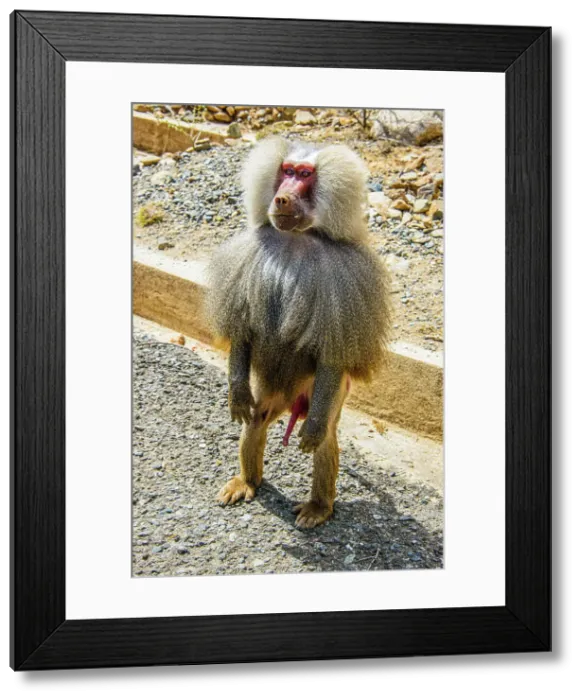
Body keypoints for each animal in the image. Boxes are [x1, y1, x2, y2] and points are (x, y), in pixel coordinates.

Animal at [206, 136, 391, 528]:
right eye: (286, 171)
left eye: (305, 175)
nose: (282, 198)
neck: (296, 239)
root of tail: (294, 403)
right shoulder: (250, 256)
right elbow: (243, 328)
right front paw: (236, 394)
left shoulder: (346, 276)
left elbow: (334, 350)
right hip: (271, 393)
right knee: (257, 420)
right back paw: (247, 482)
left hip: (326, 394)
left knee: (325, 442)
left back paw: (318, 507)